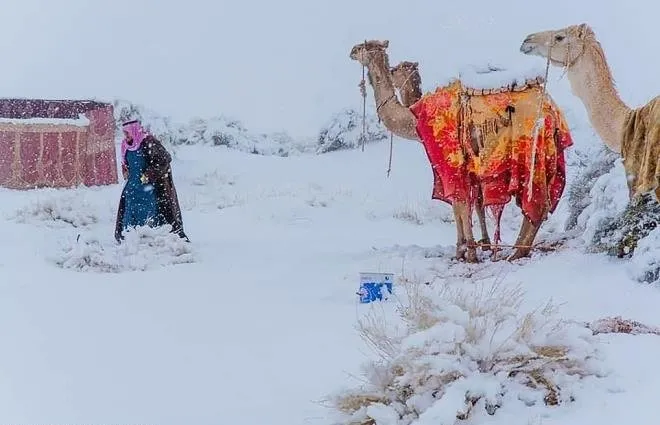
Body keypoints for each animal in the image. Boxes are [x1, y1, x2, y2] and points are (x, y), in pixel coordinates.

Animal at [350, 39, 572, 262]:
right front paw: (480, 245)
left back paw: (515, 252)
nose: (351, 52)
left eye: (362, 47)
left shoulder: (450, 160)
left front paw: (466, 251)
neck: (414, 119)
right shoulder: (471, 166)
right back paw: (515, 250)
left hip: (531, 150)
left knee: (537, 203)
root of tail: (552, 111)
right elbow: (474, 203)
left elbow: (459, 204)